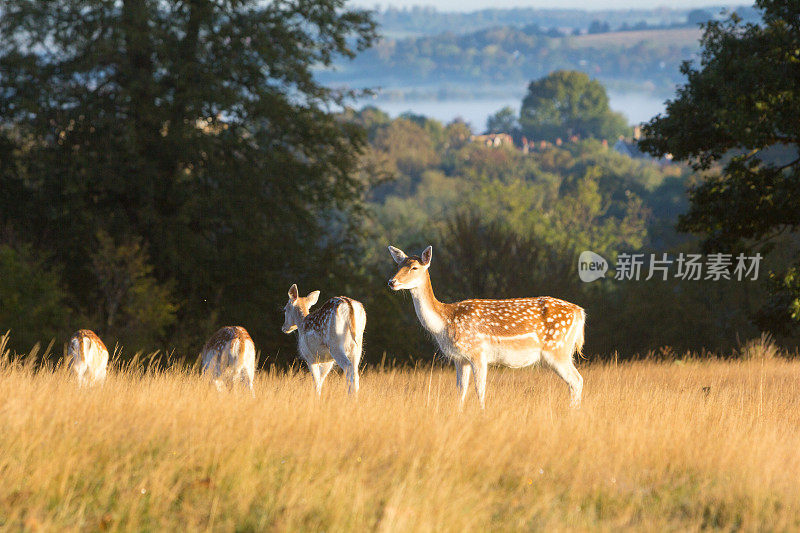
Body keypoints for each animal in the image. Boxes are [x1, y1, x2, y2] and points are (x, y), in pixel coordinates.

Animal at [390, 245, 584, 408]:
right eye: (398, 265)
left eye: (414, 267)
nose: (392, 282)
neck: (445, 322)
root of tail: (580, 312)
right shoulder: (460, 358)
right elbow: (461, 389)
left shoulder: (478, 352)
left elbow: (480, 388)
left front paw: (482, 412)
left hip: (557, 350)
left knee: (576, 380)